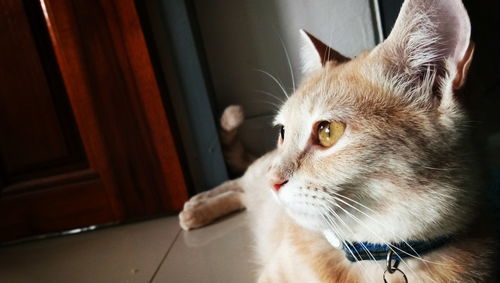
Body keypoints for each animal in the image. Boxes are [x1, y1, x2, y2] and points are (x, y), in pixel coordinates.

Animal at [178, 0, 494, 282]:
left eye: (328, 132)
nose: (273, 180)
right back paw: (196, 207)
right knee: (238, 182)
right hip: (256, 176)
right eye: (283, 132)